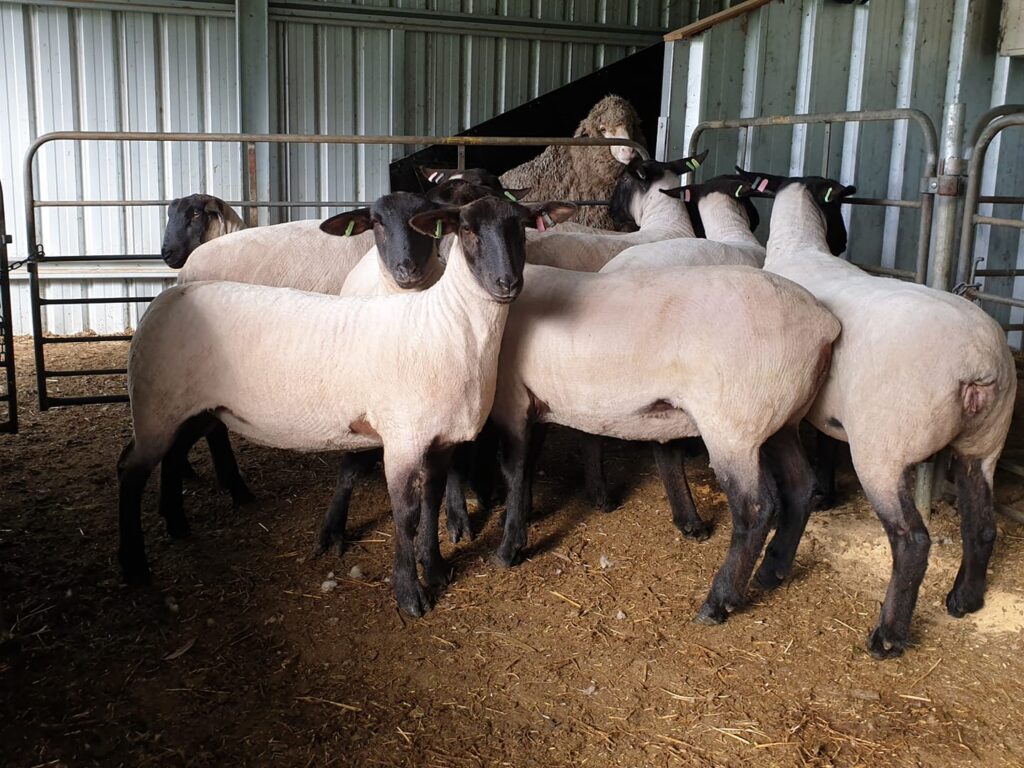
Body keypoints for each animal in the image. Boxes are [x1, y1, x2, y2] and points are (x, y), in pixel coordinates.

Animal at [117, 195, 577, 618]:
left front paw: (436, 569)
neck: (447, 324)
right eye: (466, 231)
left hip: (191, 410)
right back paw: (134, 565)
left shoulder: (439, 440)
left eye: (522, 229)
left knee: (171, 454)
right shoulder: (402, 439)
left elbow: (431, 503)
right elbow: (406, 516)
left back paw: (176, 524)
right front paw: (409, 594)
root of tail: (167, 298)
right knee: (130, 469)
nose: (507, 283)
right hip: (156, 406)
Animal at [487, 262, 839, 626]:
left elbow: (515, 468)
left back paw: (718, 602)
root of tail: (823, 324)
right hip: (783, 419)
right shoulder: (536, 403)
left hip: (734, 424)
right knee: (801, 488)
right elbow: (529, 462)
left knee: (755, 509)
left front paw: (509, 546)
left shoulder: (511, 398)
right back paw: (772, 572)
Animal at [741, 169, 1019, 663]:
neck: (800, 245)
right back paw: (964, 598)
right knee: (982, 525)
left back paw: (888, 634)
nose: (844, 239)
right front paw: (826, 494)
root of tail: (978, 364)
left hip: (883, 451)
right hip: (984, 442)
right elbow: (826, 448)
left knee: (912, 541)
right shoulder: (830, 411)